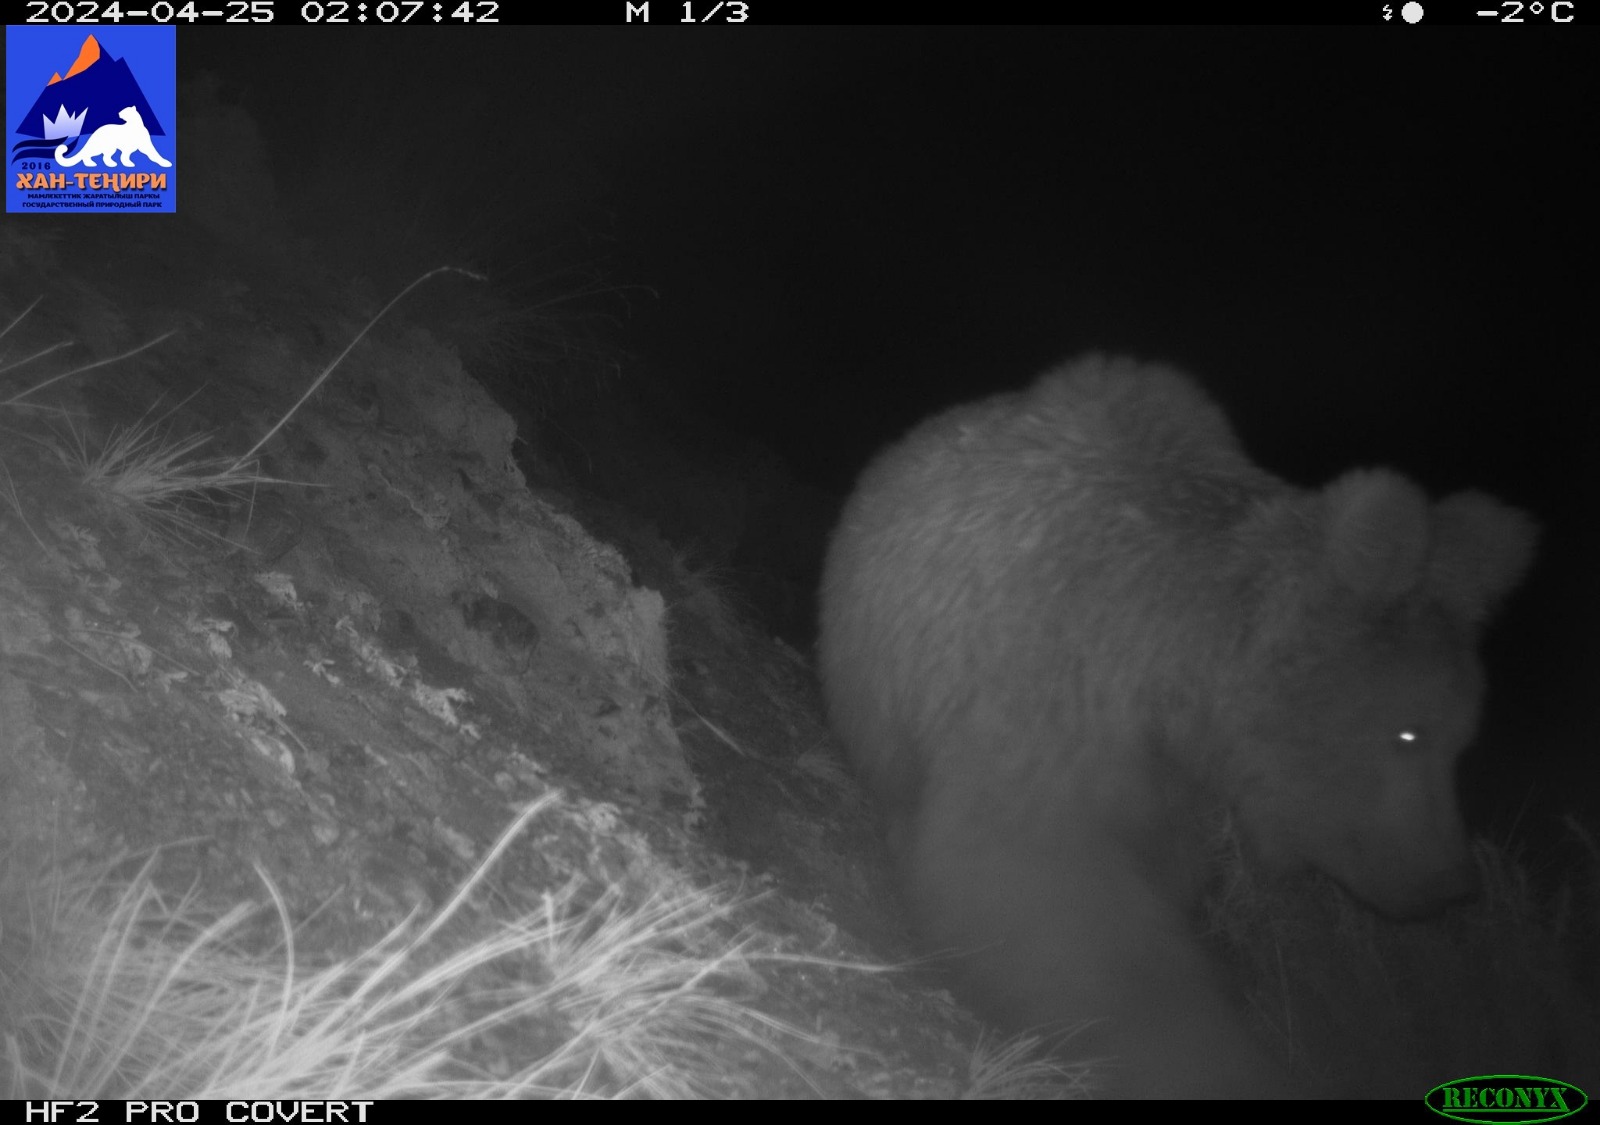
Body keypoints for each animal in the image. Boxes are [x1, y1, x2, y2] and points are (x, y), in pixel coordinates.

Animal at [817, 354, 1537, 1098]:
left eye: (1462, 741)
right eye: (1409, 734)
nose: (1453, 882)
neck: (1171, 677)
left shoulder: (1172, 787)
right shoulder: (1046, 700)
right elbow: (1048, 902)